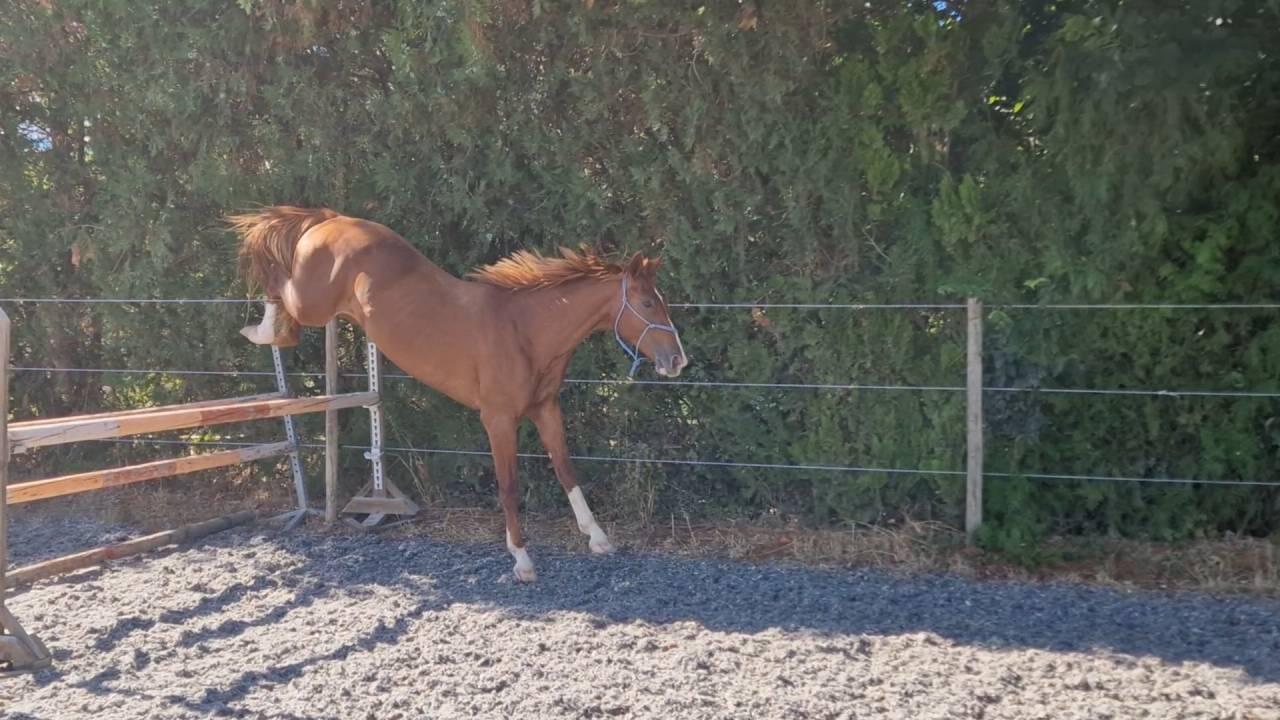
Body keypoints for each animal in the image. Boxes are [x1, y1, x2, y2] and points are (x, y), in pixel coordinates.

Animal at [228, 206, 687, 581]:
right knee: (278, 283)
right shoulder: (499, 419)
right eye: (648, 304)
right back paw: (259, 330)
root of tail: (329, 219)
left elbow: (566, 471)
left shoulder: (545, 409)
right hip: (313, 302)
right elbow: (509, 487)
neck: (526, 330)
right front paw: (522, 560)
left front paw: (598, 538)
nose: (678, 360)